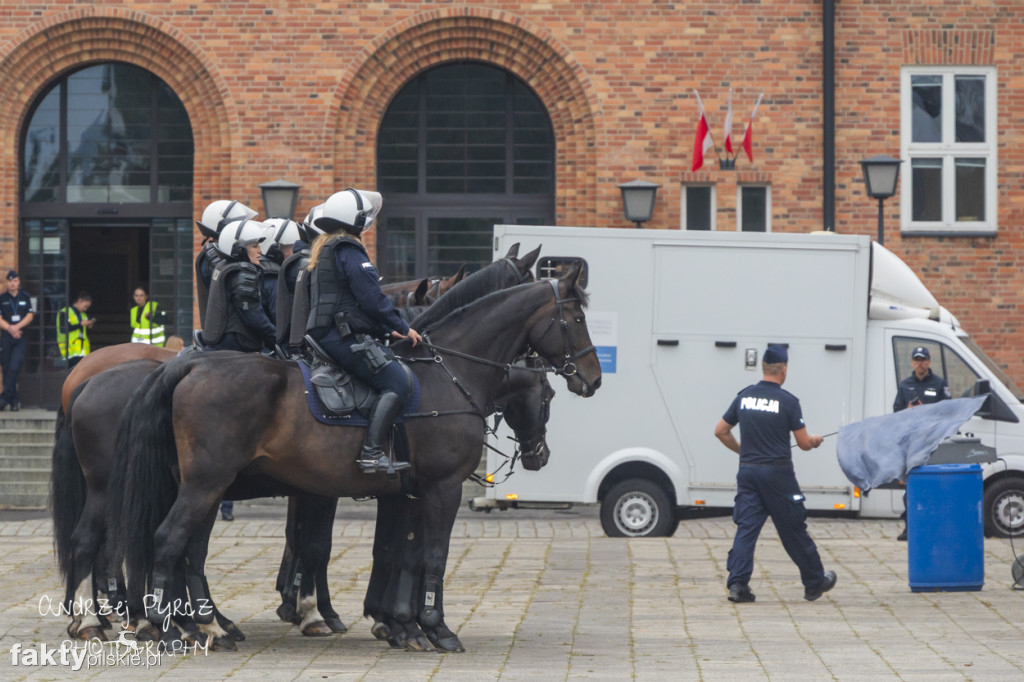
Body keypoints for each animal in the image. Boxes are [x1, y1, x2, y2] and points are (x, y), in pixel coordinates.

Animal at [110, 260, 598, 647]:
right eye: (576, 317)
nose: (591, 379)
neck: (449, 374)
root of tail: (189, 366)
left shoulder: (404, 492)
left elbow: (398, 553)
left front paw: (401, 625)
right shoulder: (440, 489)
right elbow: (428, 555)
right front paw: (434, 628)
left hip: (202, 487)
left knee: (182, 548)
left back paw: (195, 625)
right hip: (205, 485)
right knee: (167, 541)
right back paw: (170, 628)